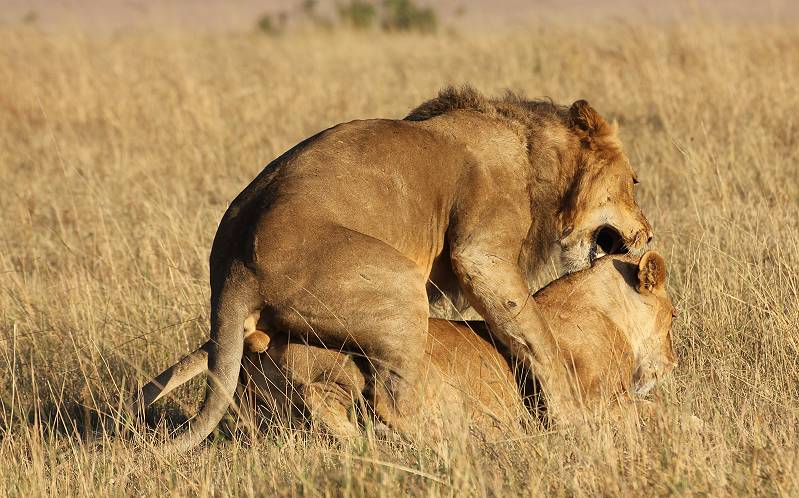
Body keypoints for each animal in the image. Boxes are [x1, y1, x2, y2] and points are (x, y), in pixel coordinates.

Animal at [138, 85, 652, 452]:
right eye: (633, 181)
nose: (649, 235)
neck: (535, 153)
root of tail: (232, 269)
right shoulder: (480, 253)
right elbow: (537, 335)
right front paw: (569, 417)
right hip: (400, 289)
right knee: (391, 403)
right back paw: (456, 444)